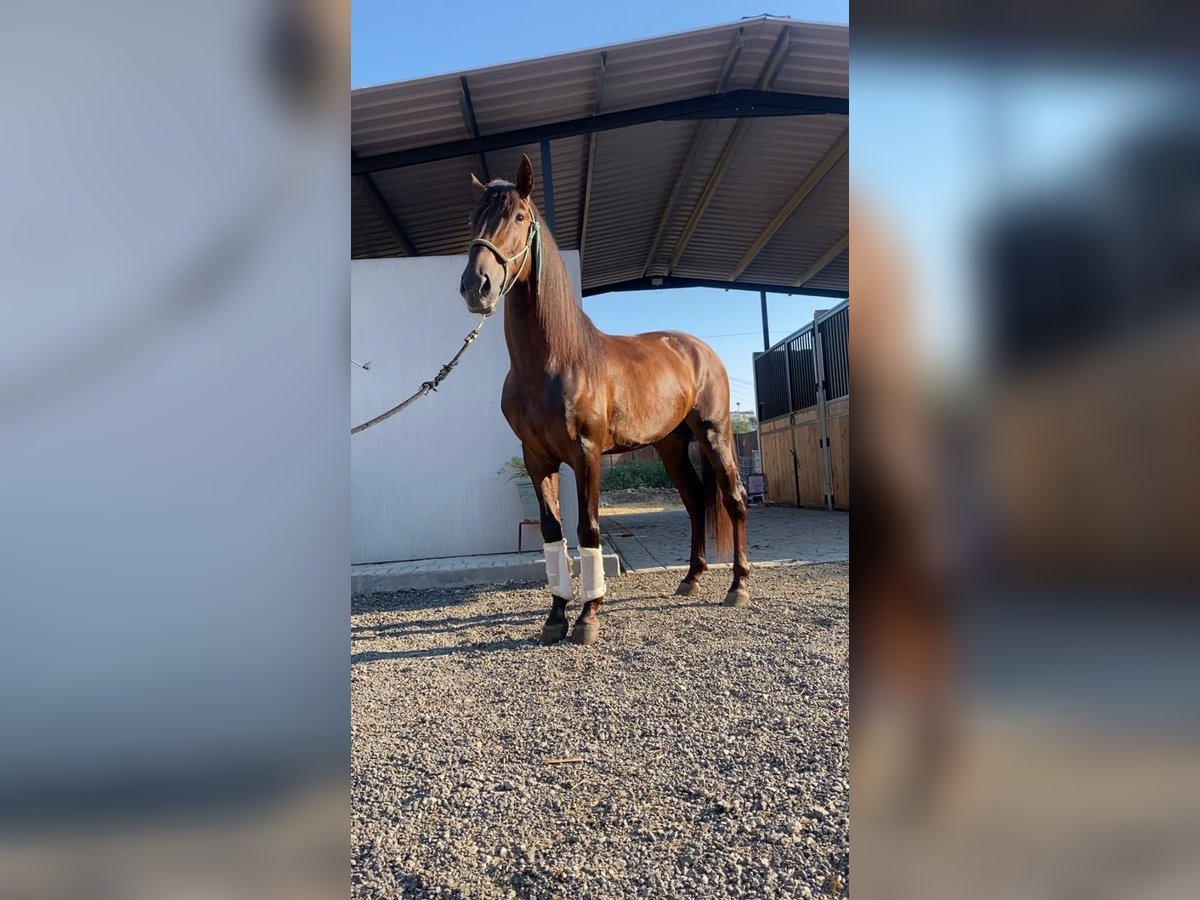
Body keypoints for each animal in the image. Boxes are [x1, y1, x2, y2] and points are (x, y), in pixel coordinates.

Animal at [459, 154, 750, 646]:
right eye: (472, 218)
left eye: (518, 217)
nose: (475, 285)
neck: (554, 361)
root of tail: (699, 349)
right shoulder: (536, 457)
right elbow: (553, 531)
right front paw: (556, 615)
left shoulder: (587, 453)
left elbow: (588, 528)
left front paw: (588, 616)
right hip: (671, 446)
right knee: (694, 500)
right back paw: (691, 578)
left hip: (714, 433)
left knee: (732, 497)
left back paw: (738, 586)